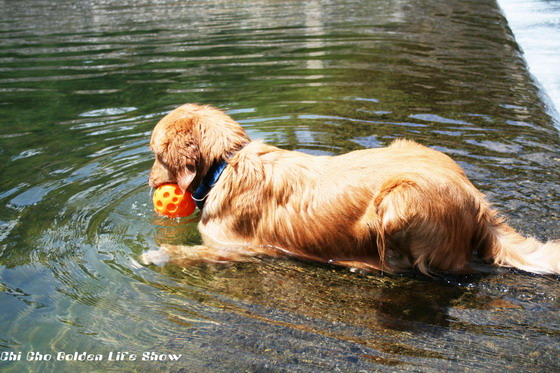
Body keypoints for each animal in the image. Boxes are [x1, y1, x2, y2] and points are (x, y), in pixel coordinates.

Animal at [143, 103, 560, 274]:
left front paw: (157, 255)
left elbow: (191, 253)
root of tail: (476, 201)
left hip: (398, 201)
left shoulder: (238, 247)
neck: (226, 165)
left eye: (156, 155)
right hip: (405, 147)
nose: (148, 181)